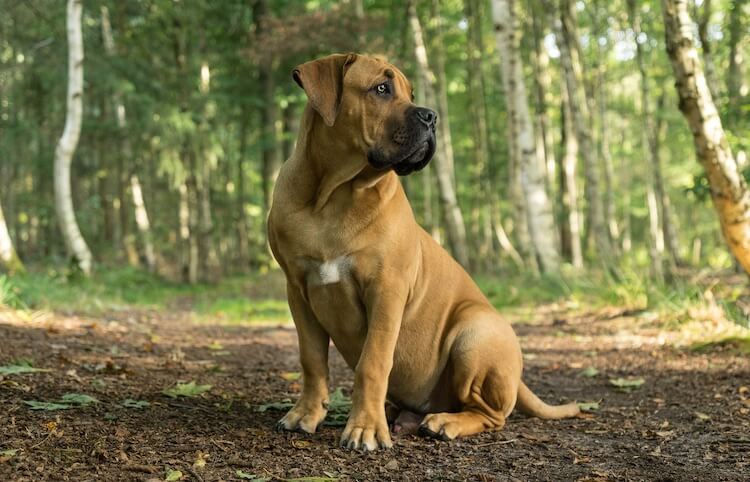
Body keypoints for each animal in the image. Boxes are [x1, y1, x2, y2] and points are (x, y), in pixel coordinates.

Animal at [270, 53, 580, 452]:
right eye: (381, 88)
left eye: (411, 93)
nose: (431, 116)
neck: (335, 194)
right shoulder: (298, 289)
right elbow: (311, 359)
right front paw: (306, 414)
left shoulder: (386, 290)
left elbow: (373, 363)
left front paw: (365, 429)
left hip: (474, 333)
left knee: (491, 415)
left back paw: (444, 422)